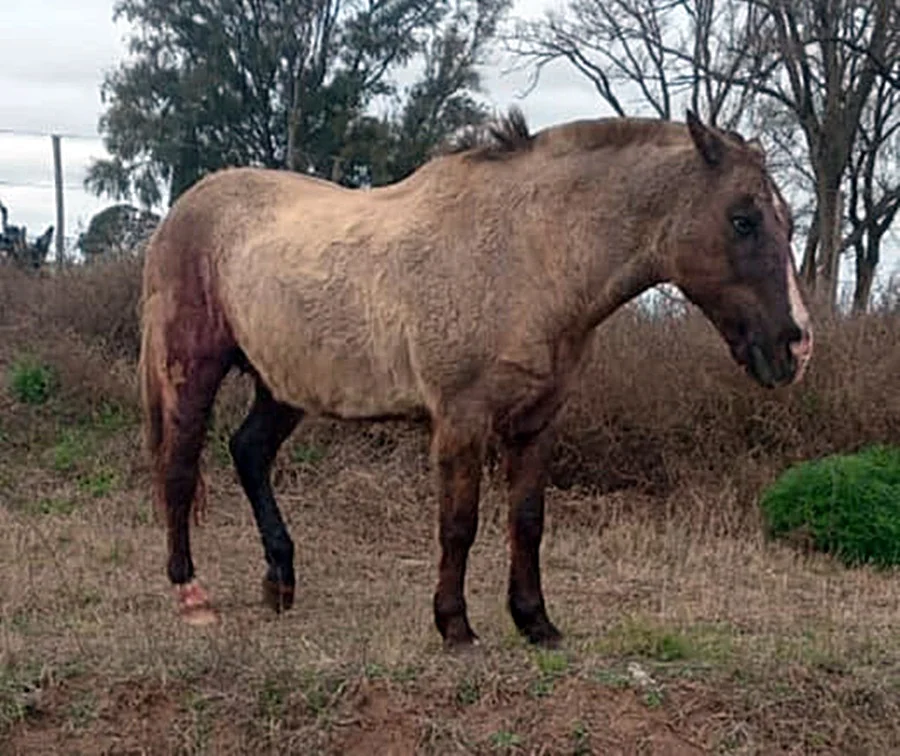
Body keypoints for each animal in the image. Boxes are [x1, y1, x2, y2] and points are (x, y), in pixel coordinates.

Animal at [138, 109, 813, 648]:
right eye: (743, 219)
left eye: (788, 220)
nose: (797, 344)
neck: (526, 256)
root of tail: (182, 211)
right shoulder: (462, 421)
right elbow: (458, 525)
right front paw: (455, 626)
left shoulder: (537, 422)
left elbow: (528, 522)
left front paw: (536, 623)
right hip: (192, 370)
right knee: (179, 468)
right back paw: (191, 594)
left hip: (283, 385)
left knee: (248, 453)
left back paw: (280, 582)